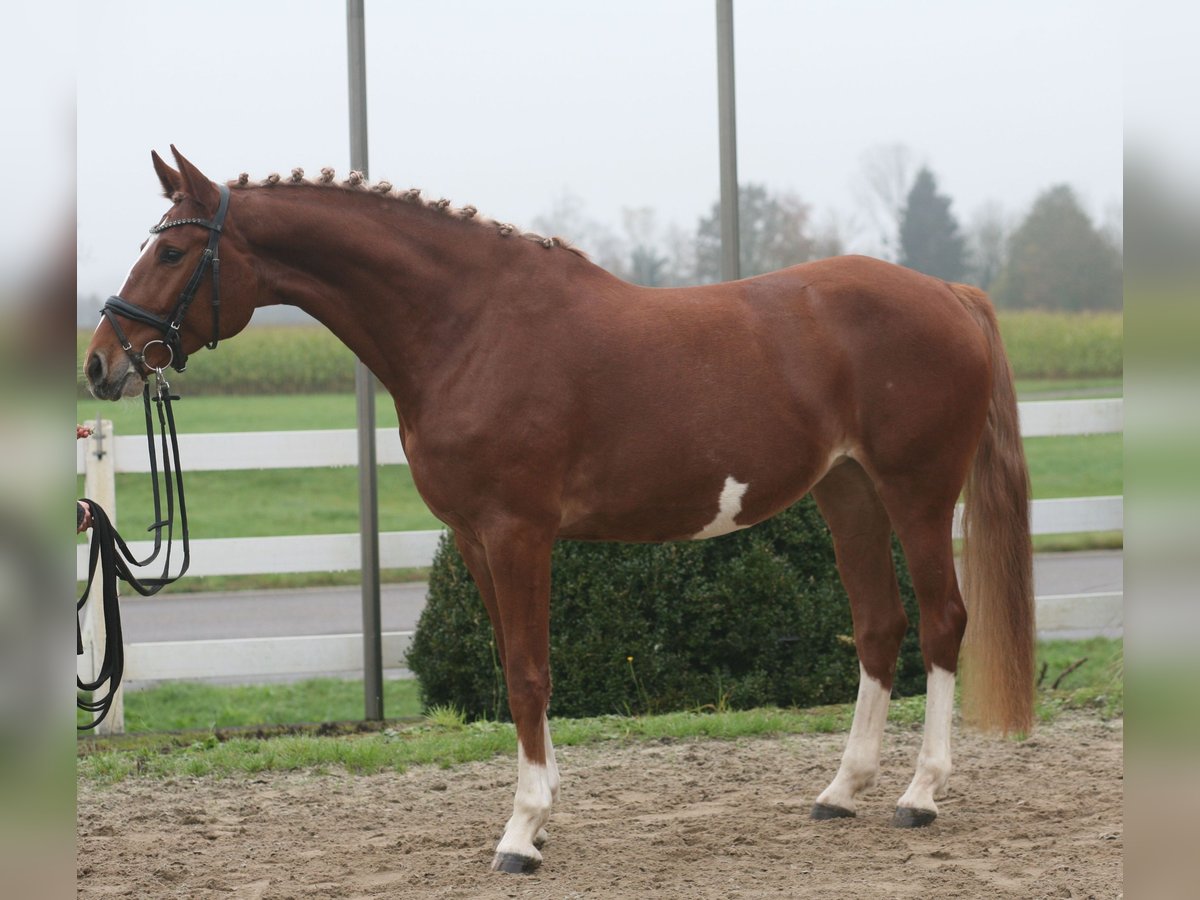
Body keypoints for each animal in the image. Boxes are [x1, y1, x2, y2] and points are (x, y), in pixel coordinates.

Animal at [84, 148, 1036, 873]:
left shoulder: (519, 535)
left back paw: (920, 795)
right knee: (878, 626)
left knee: (943, 621)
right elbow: (514, 670)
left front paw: (522, 833)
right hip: (848, 493)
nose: (101, 363)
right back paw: (840, 792)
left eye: (171, 255)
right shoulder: (473, 539)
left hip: (916, 491)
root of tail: (950, 294)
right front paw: (535, 817)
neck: (468, 327)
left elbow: (529, 675)